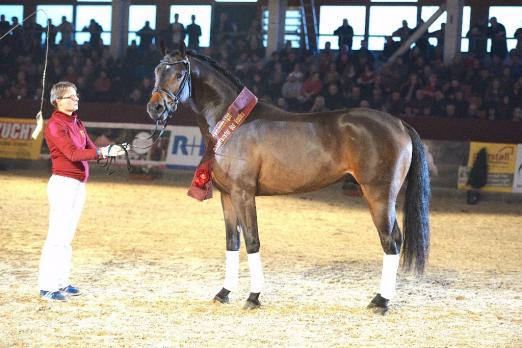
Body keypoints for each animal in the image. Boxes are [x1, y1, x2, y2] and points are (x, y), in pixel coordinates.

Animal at [145, 42, 426, 314]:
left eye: (179, 74)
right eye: (157, 71)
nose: (155, 108)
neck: (233, 122)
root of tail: (400, 124)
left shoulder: (243, 193)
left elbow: (252, 241)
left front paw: (254, 297)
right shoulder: (227, 195)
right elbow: (232, 242)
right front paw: (223, 293)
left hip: (379, 196)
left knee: (391, 241)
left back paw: (381, 302)